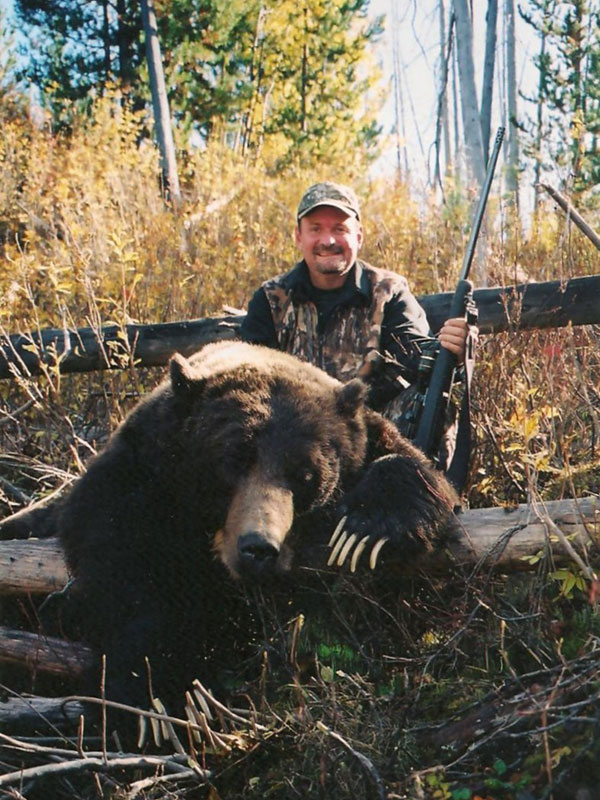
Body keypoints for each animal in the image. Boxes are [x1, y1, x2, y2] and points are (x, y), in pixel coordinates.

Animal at [54, 342, 458, 712]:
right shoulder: (130, 479)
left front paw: (368, 531)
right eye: (232, 461)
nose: (258, 548)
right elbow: (130, 578)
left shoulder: (372, 439)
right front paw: (156, 695)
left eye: (305, 474)